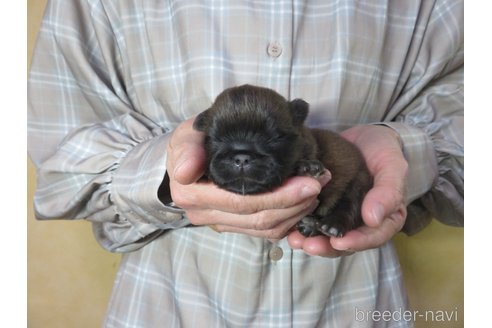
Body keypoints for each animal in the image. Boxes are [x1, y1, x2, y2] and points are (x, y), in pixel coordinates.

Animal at [194, 84, 370, 237]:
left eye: (274, 138)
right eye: (215, 139)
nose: (242, 158)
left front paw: (307, 167)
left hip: (359, 180)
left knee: (350, 203)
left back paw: (331, 225)